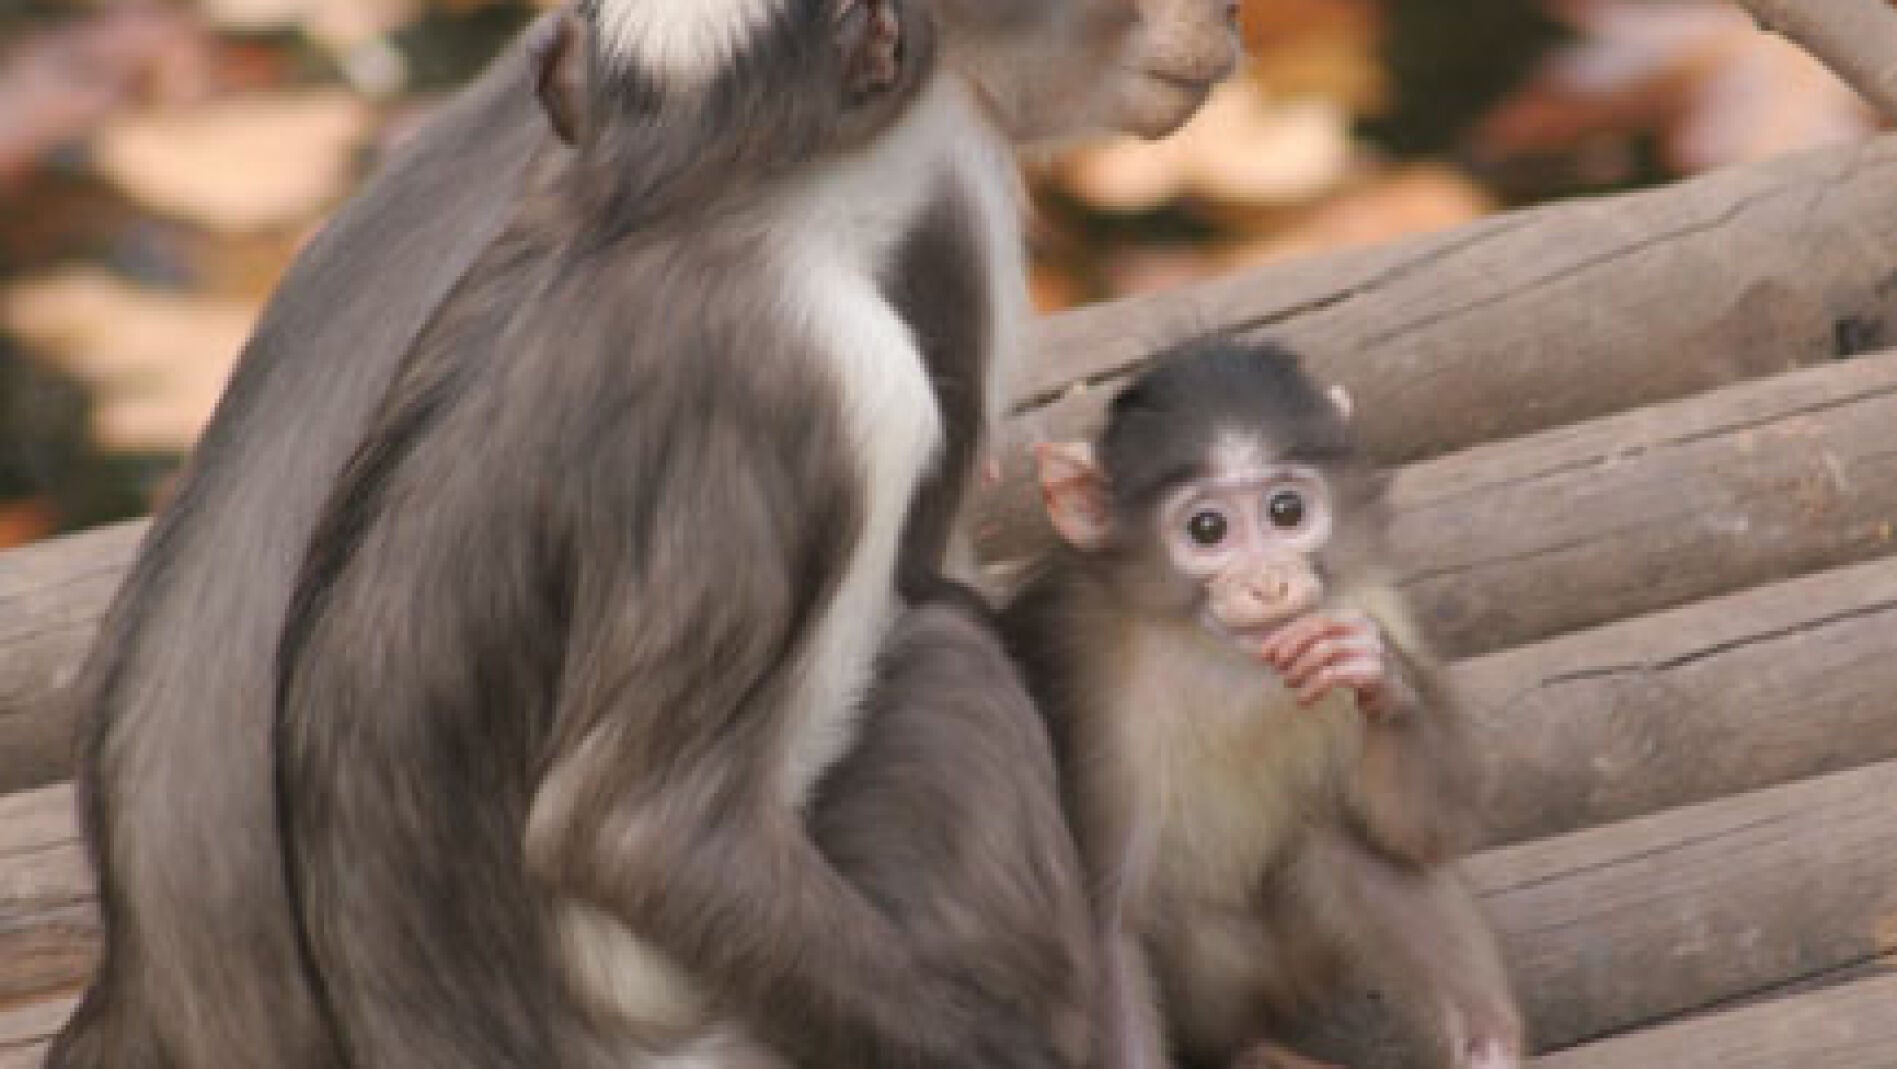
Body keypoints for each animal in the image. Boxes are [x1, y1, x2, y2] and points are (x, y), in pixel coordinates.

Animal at [1002, 337, 1525, 1069]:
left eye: (1286, 511)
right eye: (1207, 528)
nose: (1270, 583)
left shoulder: (1365, 595)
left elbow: (1428, 832)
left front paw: (1378, 673)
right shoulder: (1081, 669)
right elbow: (1107, 926)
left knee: (1335, 827)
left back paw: (1484, 1040)